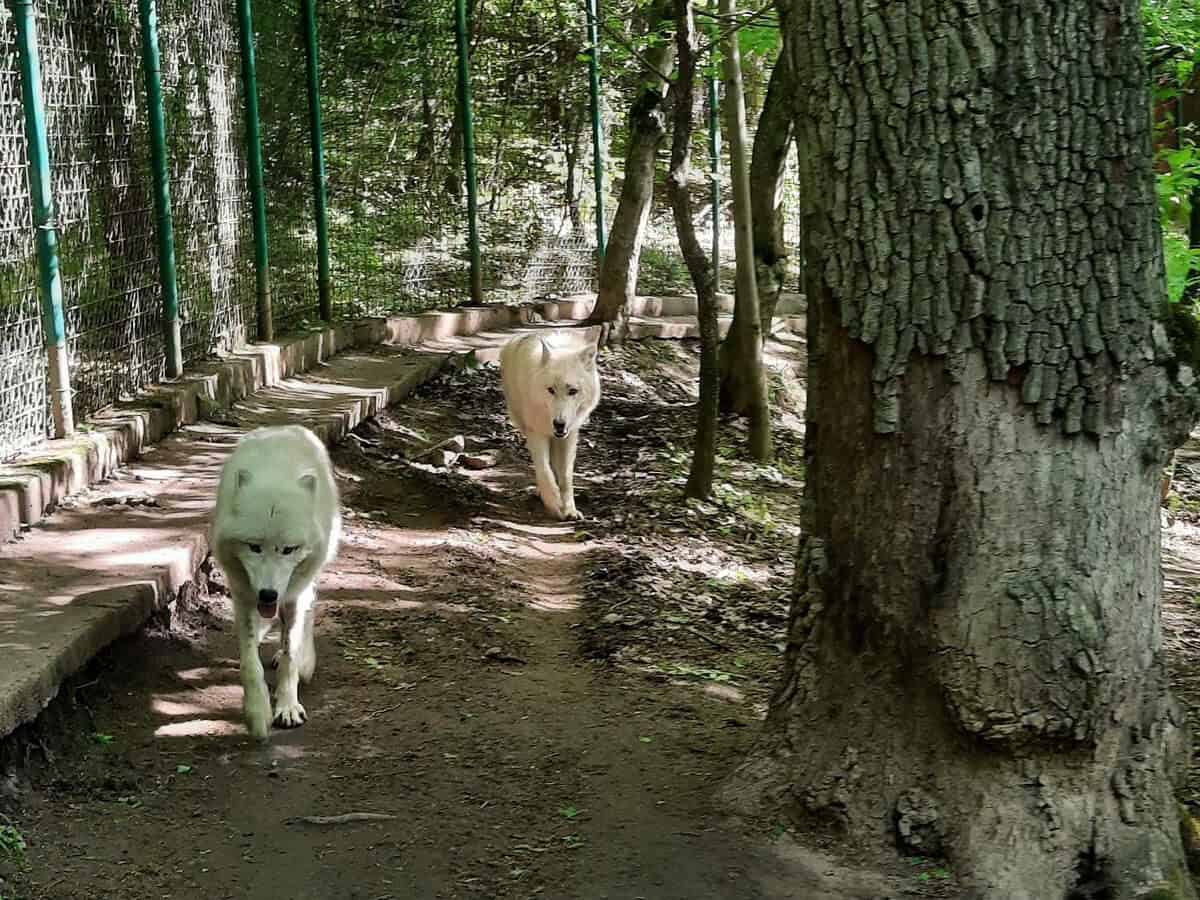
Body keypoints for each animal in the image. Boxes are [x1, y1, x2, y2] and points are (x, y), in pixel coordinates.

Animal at [211, 427, 340, 744]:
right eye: (254, 547)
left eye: (289, 549)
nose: (268, 593)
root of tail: (285, 428)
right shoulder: (244, 595)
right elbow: (249, 663)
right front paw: (258, 713)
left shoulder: (292, 596)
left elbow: (291, 653)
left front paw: (288, 707)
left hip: (308, 576)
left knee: (307, 613)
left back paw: (304, 660)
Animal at [499, 328, 600, 520]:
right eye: (550, 390)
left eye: (573, 391)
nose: (559, 424)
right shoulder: (536, 432)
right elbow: (544, 470)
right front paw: (553, 503)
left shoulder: (569, 435)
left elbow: (566, 477)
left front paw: (570, 510)